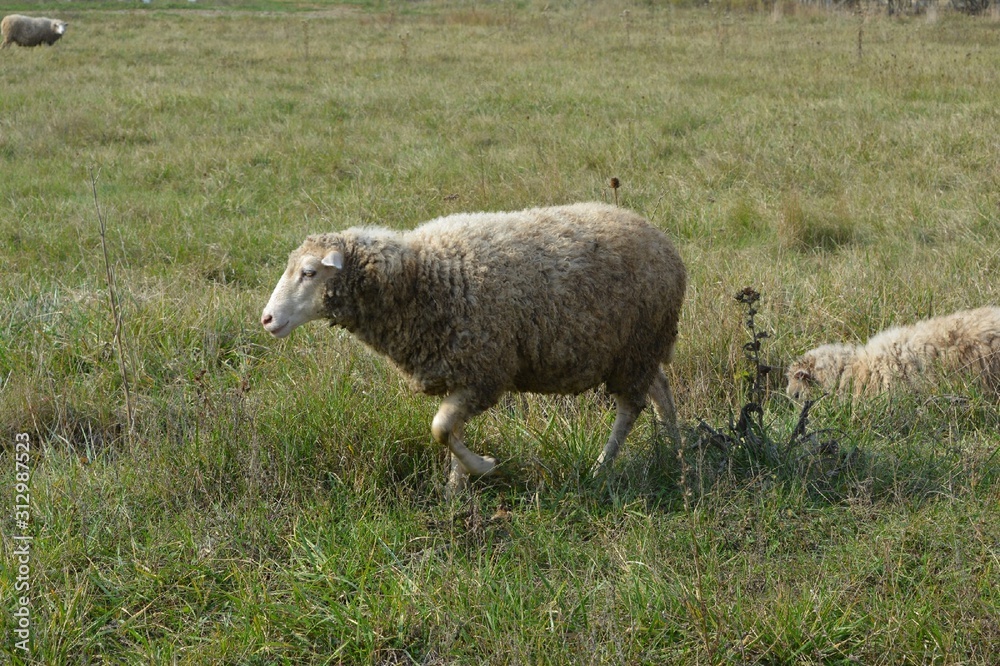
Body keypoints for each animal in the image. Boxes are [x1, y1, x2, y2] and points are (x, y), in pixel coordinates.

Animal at [261, 202, 687, 495]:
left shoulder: (484, 374)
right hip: (636, 352)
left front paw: (483, 467)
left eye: (309, 273)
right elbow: (449, 430)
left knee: (630, 409)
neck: (422, 278)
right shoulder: (459, 371)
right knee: (662, 392)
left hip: (638, 348)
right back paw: (676, 453)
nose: (266, 319)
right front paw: (455, 491)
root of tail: (661, 237)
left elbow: (440, 429)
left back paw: (603, 466)